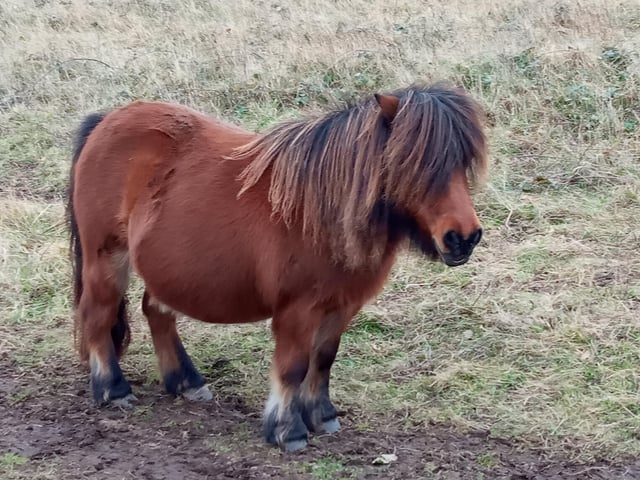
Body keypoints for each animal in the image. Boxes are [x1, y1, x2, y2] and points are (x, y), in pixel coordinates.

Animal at [66, 82, 488, 452]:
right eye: (416, 164)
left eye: (464, 163)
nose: (463, 238)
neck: (320, 210)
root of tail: (107, 121)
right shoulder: (297, 311)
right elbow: (293, 367)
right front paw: (288, 431)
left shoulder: (341, 307)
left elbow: (324, 360)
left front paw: (322, 416)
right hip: (107, 257)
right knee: (97, 314)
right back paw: (113, 389)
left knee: (155, 311)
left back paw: (186, 382)